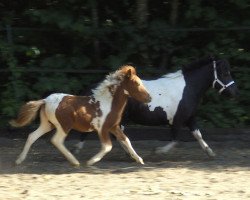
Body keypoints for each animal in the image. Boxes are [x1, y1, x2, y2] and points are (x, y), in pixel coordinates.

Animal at [9, 65, 150, 166]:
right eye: (137, 83)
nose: (149, 98)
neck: (108, 103)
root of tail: (45, 100)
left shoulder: (114, 127)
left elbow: (126, 140)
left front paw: (139, 159)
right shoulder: (102, 129)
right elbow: (107, 146)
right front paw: (91, 161)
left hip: (47, 125)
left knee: (32, 136)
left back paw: (19, 160)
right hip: (64, 126)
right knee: (56, 140)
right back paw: (74, 161)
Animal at [74, 56, 238, 158]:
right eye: (225, 73)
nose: (234, 92)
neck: (187, 89)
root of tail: (94, 89)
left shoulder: (190, 117)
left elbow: (198, 135)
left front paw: (210, 152)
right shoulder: (178, 120)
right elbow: (175, 140)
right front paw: (158, 151)